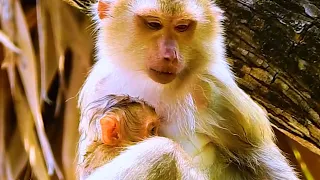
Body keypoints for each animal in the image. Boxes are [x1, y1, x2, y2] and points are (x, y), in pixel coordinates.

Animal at [77, 0, 298, 179]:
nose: (170, 55)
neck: (154, 85)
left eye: (182, 27)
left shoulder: (213, 89)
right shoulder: (99, 83)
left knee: (162, 152)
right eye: (154, 24)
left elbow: (259, 158)